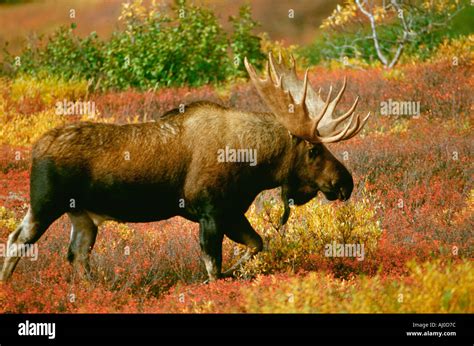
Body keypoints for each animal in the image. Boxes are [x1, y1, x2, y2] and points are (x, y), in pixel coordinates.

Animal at [0, 53, 368, 282]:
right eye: (313, 150)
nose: (345, 182)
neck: (252, 164)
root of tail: (35, 148)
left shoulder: (231, 212)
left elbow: (256, 244)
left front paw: (235, 274)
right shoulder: (209, 212)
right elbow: (213, 267)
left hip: (83, 216)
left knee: (77, 256)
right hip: (45, 203)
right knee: (16, 240)